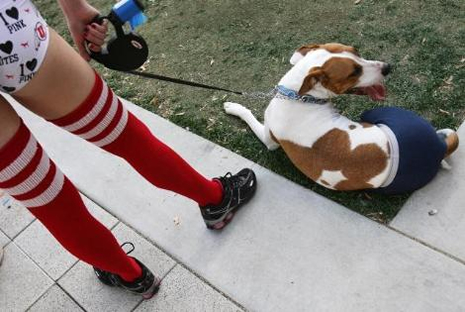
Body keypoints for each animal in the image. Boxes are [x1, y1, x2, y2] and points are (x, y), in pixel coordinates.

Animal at [224, 42, 456, 194]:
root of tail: (438, 149)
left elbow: (249, 115)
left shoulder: (269, 139)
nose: (388, 67)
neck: (299, 95)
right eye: (353, 72)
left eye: (357, 51)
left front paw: (234, 106)